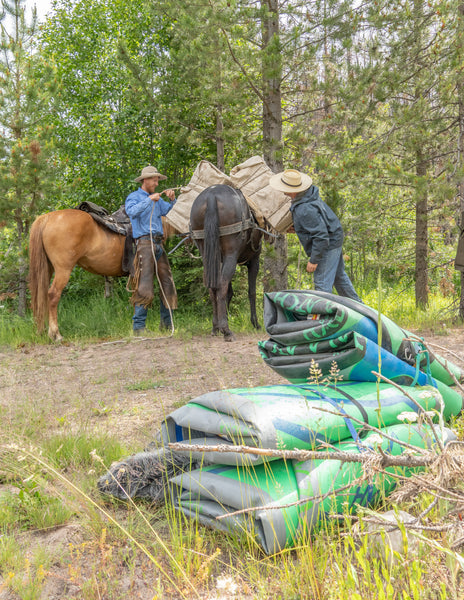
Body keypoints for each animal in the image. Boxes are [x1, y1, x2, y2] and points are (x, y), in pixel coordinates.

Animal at [28, 210, 176, 342]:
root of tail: (47, 217)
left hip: (47, 269)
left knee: (40, 296)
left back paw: (41, 331)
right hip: (63, 270)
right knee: (53, 295)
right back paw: (56, 334)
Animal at [188, 183, 260, 340]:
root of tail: (211, 195)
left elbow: (229, 292)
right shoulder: (254, 260)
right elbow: (252, 291)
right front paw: (255, 323)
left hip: (207, 254)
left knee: (212, 287)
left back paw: (216, 327)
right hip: (231, 255)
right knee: (221, 286)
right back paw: (226, 330)